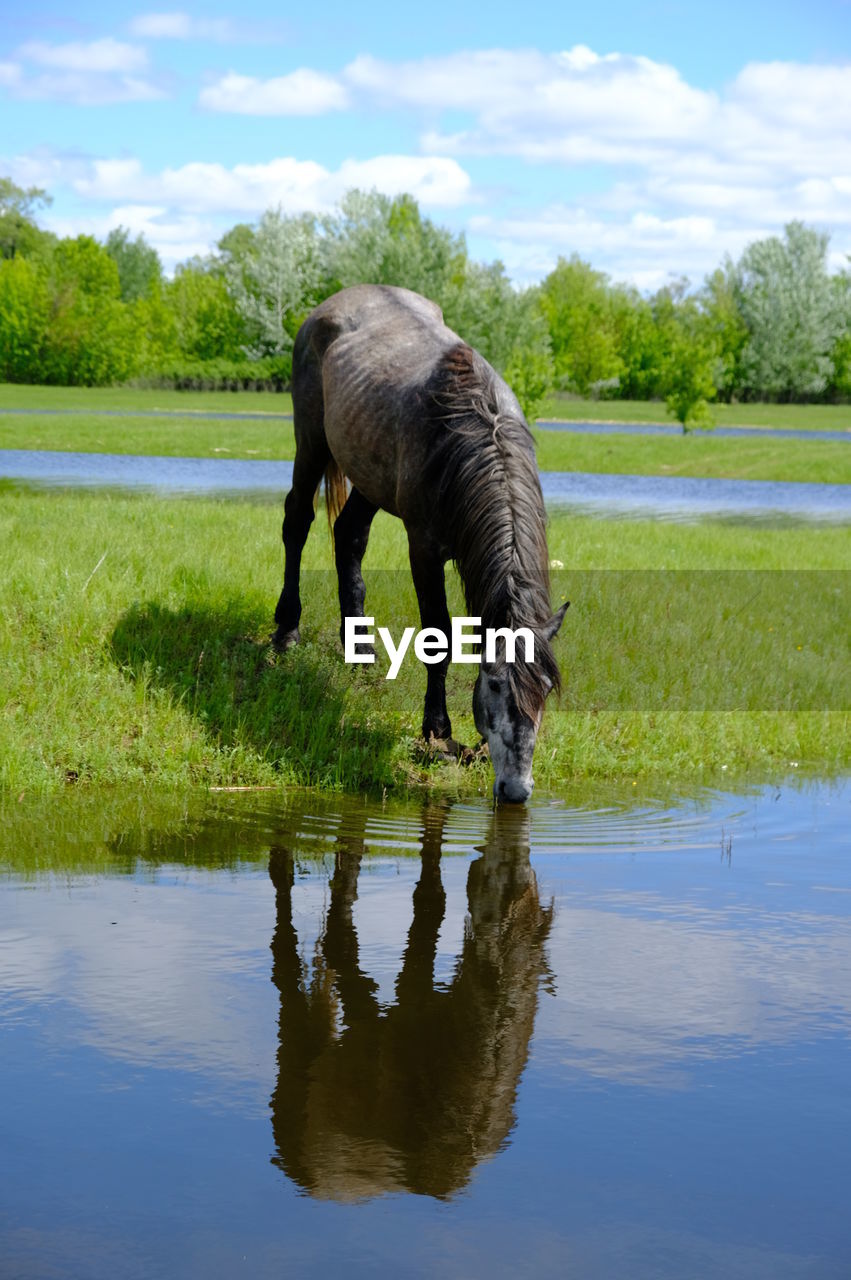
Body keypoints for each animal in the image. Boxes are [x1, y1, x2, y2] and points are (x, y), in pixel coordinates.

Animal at [272, 284, 563, 798]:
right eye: (494, 685)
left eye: (546, 688)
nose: (516, 790)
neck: (468, 435)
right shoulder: (423, 549)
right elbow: (439, 636)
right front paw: (438, 731)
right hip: (311, 440)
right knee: (298, 521)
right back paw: (287, 630)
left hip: (369, 478)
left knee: (349, 538)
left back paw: (360, 653)